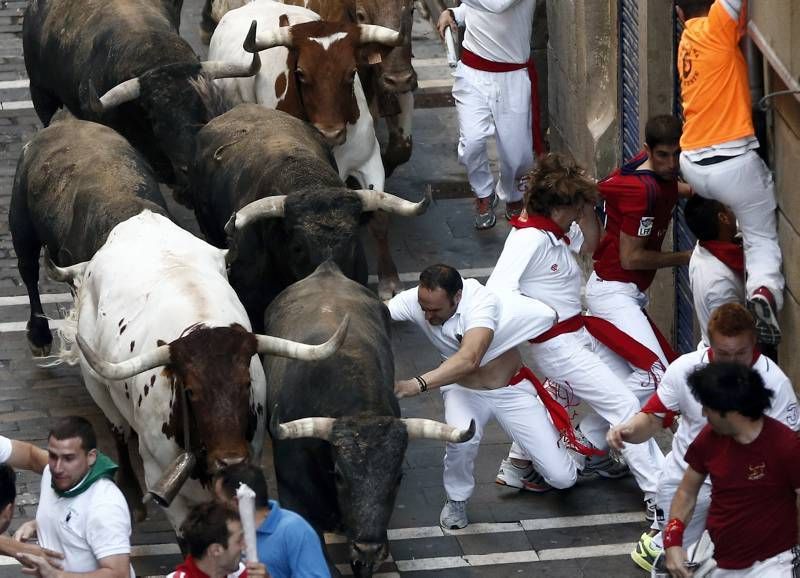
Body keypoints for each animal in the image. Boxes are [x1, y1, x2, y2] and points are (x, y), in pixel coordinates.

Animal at [50, 209, 346, 528]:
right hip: (97, 384)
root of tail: (142, 218)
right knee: (117, 431)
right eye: (190, 391)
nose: (231, 460)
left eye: (246, 384)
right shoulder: (163, 484)